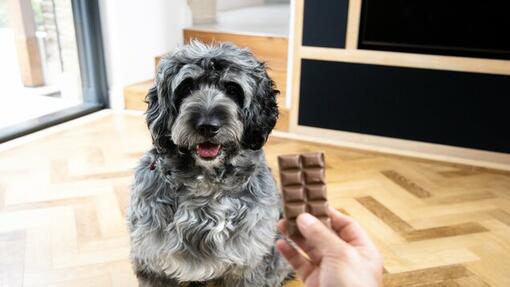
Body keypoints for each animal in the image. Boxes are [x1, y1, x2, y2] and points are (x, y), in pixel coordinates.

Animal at [127, 41, 292, 287]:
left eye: (233, 89)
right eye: (186, 87)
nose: (207, 126)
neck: (205, 183)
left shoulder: (246, 263)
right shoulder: (153, 263)